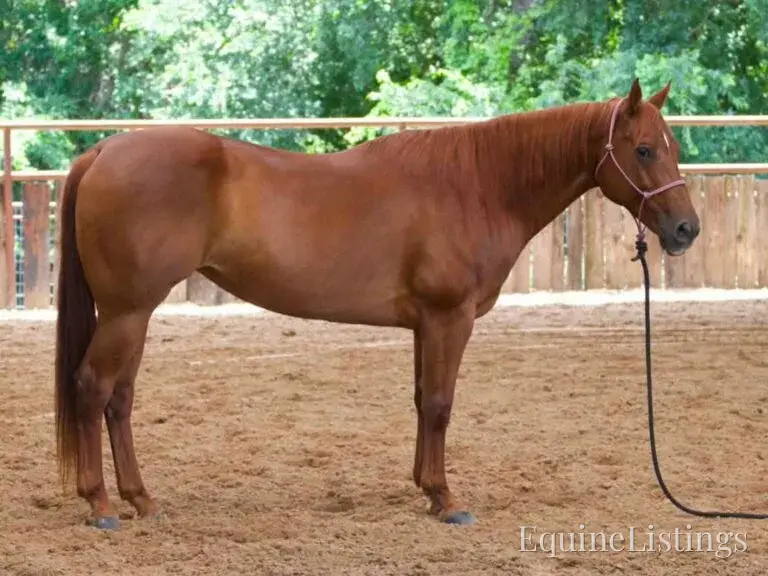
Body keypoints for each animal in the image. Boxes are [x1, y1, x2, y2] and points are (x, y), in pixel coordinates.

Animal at [54, 78, 700, 530]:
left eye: (671, 146)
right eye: (645, 150)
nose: (686, 229)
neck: (478, 185)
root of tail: (103, 151)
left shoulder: (425, 326)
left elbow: (420, 402)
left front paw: (426, 490)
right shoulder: (448, 319)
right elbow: (439, 405)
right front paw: (448, 500)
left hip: (136, 315)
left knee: (119, 401)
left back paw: (142, 500)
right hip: (126, 312)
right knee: (92, 390)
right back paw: (101, 505)